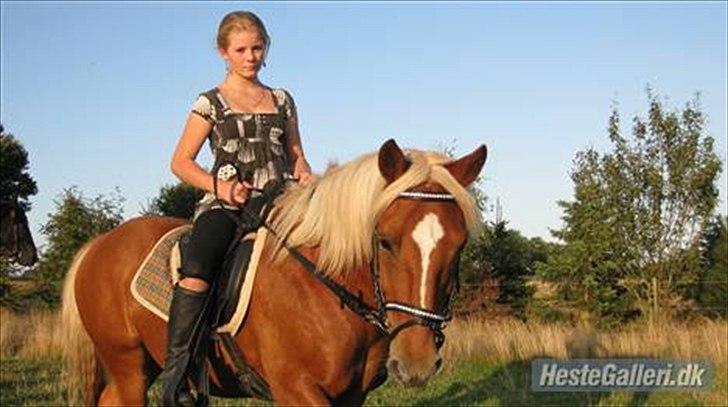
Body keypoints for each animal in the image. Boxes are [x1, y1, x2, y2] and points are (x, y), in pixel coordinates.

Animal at [59, 139, 486, 404]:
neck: (324, 289)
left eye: (459, 245)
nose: (417, 362)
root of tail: (98, 245)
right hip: (128, 364)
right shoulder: (296, 388)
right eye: (384, 241)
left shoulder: (352, 395)